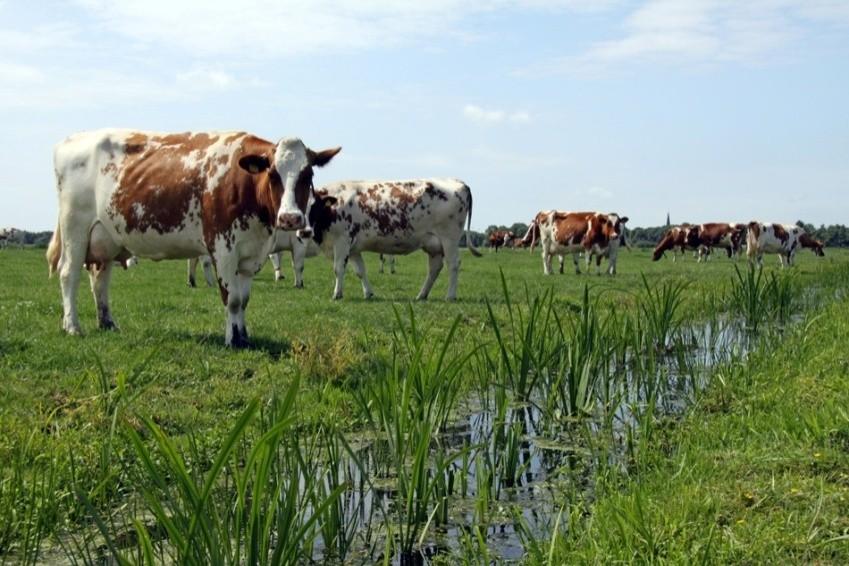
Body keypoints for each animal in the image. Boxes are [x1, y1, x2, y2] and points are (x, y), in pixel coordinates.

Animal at [46, 130, 338, 348]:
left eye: (308, 174)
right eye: (273, 174)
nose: (290, 218)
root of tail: (70, 140)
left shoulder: (251, 254)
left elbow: (243, 299)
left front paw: (244, 336)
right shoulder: (223, 247)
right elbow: (232, 299)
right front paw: (233, 340)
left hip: (106, 237)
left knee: (100, 278)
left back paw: (107, 322)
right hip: (75, 227)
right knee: (69, 274)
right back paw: (72, 326)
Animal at [306, 180, 480, 302]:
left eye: (313, 207)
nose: (304, 230)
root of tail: (459, 182)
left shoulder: (342, 240)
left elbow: (338, 269)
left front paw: (337, 294)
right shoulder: (353, 247)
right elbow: (360, 271)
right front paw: (368, 293)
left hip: (449, 239)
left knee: (453, 264)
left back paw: (450, 296)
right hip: (433, 244)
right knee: (434, 268)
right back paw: (421, 295)